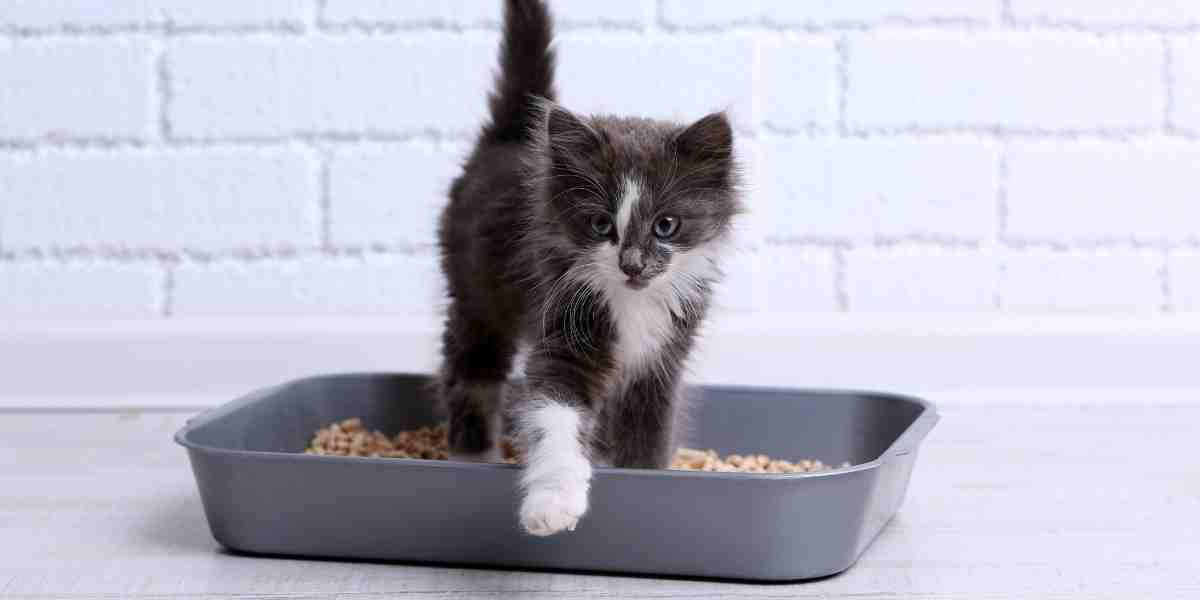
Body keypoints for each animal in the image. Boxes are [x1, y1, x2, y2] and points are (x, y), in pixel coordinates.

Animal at [436, 0, 744, 535]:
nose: (632, 263)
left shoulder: (661, 363)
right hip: (475, 295)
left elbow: (648, 435)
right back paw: (472, 454)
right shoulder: (563, 332)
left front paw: (649, 481)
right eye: (601, 224)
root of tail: (508, 136)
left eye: (666, 225)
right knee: (469, 374)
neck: (632, 303)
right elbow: (555, 418)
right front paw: (552, 503)